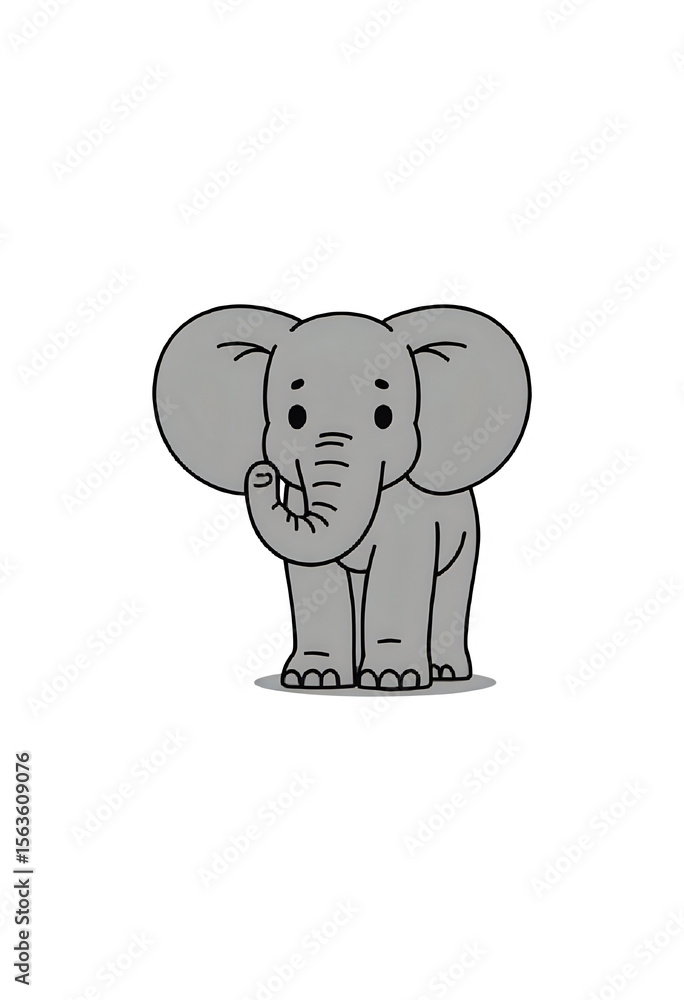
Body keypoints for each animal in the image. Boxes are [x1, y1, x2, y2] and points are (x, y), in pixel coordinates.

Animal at [153, 304, 531, 691]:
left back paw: (445, 673)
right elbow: (314, 576)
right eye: (295, 416)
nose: (261, 472)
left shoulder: (412, 517)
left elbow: (399, 574)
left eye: (384, 416)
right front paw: (314, 678)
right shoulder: (301, 497)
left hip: (467, 534)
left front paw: (393, 679)